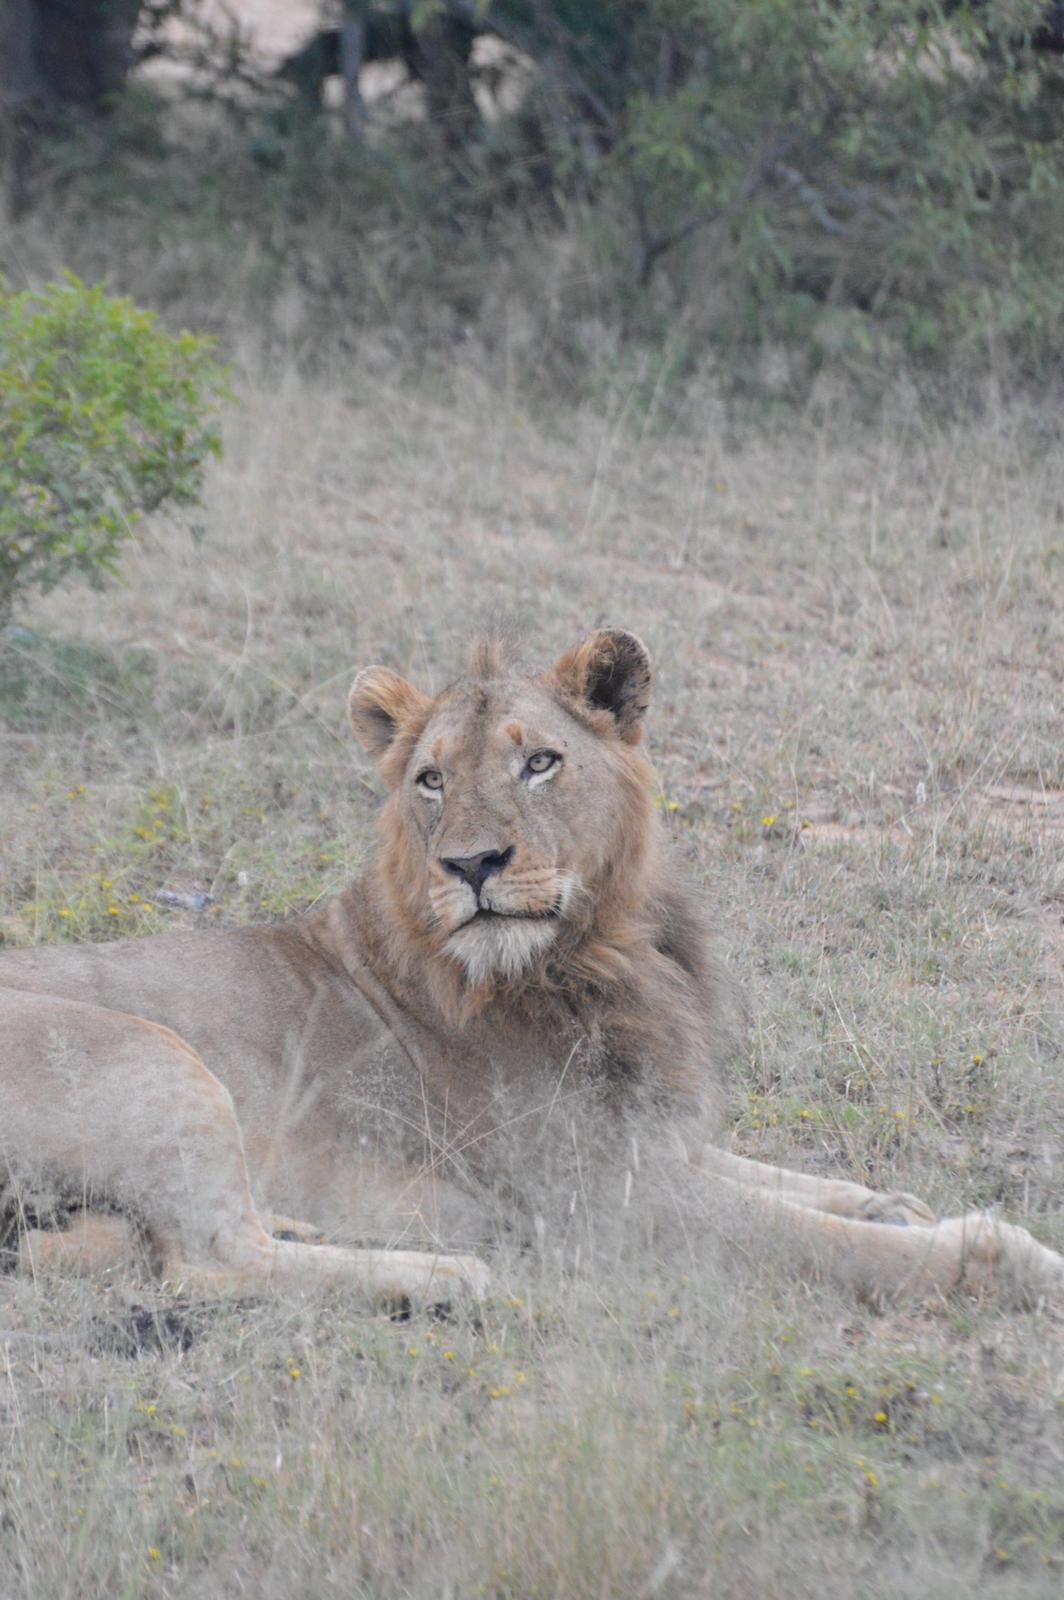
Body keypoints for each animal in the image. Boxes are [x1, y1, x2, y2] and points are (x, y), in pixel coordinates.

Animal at [1, 629, 1061, 1307]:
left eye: (540, 763)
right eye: (430, 780)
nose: (472, 865)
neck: (605, 952)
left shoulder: (644, 1137)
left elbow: (788, 1180)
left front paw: (889, 1200)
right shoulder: (607, 1204)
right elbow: (836, 1243)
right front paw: (1006, 1258)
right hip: (155, 1052)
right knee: (210, 1263)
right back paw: (447, 1278)